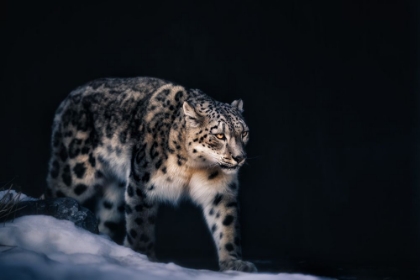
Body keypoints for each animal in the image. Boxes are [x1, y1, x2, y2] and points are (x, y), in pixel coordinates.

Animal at [45, 76, 256, 272]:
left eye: (244, 132)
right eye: (219, 135)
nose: (239, 157)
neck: (195, 166)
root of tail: (69, 98)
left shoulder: (220, 191)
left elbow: (226, 224)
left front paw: (234, 262)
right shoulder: (142, 183)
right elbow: (140, 224)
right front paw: (143, 257)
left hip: (114, 193)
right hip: (74, 173)